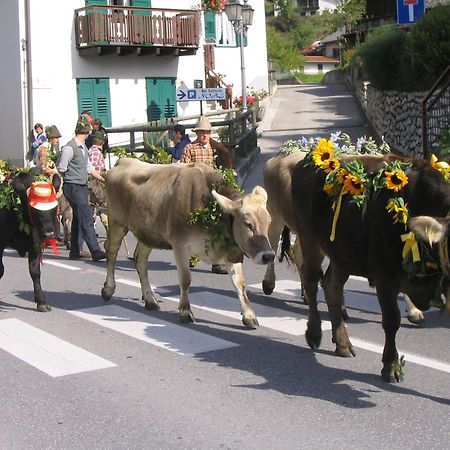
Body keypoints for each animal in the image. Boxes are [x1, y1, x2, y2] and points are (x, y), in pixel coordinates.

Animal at [0, 171, 60, 312]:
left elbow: (35, 272)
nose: (49, 234)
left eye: (55, 207)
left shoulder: (35, 245)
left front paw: (41, 302)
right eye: (34, 209)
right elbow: (0, 270)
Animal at [102, 160, 276, 328]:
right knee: (111, 253)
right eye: (248, 224)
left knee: (140, 260)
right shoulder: (180, 245)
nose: (268, 255)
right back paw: (108, 289)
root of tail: (121, 162)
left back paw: (150, 299)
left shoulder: (230, 251)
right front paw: (185, 312)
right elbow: (185, 279)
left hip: (147, 234)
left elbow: (239, 282)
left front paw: (249, 316)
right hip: (117, 221)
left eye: (269, 221)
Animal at [292, 153, 450, 382]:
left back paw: (342, 343)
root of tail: (303, 161)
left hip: (343, 254)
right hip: (310, 240)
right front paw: (390, 366)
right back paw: (314, 334)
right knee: (311, 282)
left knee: (331, 287)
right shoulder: (384, 277)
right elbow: (392, 320)